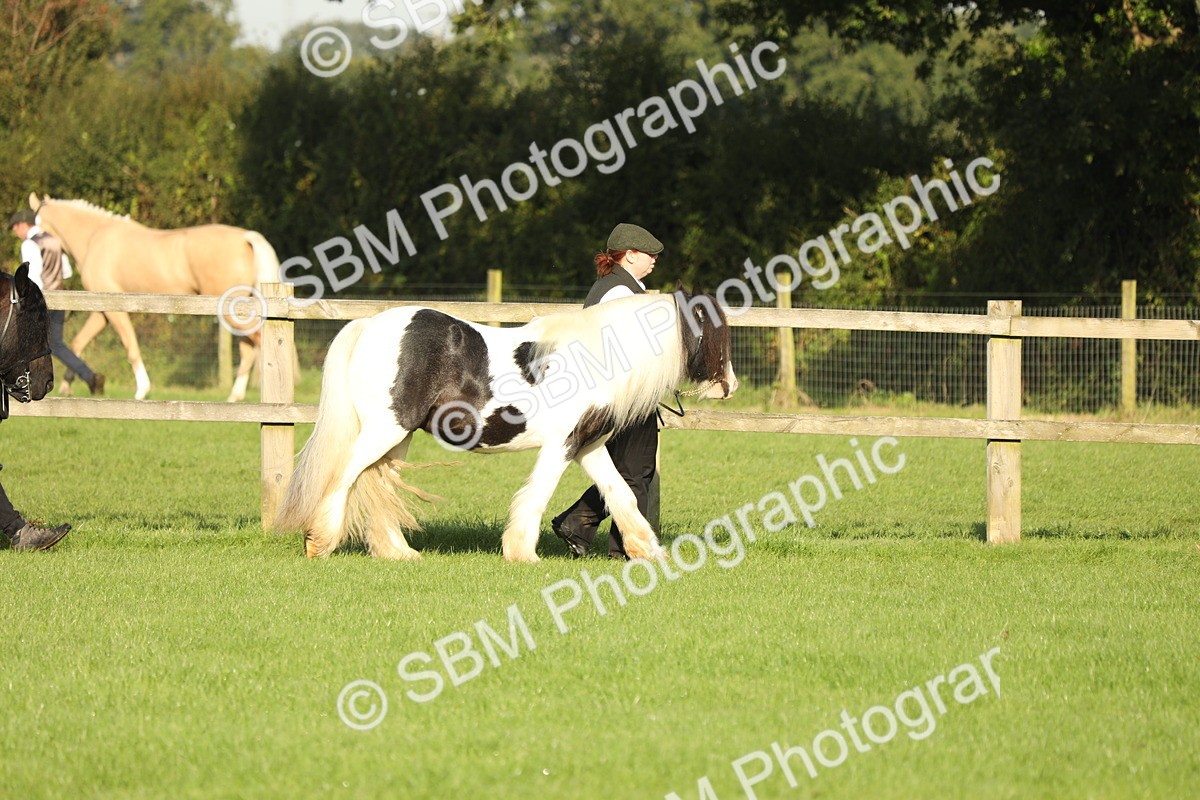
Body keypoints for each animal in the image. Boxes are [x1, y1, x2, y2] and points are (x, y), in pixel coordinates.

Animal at [28, 193, 280, 402]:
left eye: (37, 225)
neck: (94, 238)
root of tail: (245, 237)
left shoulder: (115, 310)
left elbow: (131, 346)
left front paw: (142, 390)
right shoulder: (101, 312)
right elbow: (79, 343)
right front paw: (68, 386)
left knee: (259, 342)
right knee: (248, 350)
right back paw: (235, 396)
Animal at [274, 290, 739, 562]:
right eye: (712, 332)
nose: (730, 385)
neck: (598, 357)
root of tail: (369, 325)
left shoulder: (587, 447)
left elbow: (620, 494)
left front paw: (648, 550)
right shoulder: (561, 446)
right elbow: (537, 495)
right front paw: (522, 554)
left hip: (397, 437)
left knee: (380, 484)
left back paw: (398, 553)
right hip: (384, 431)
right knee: (343, 477)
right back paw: (319, 543)